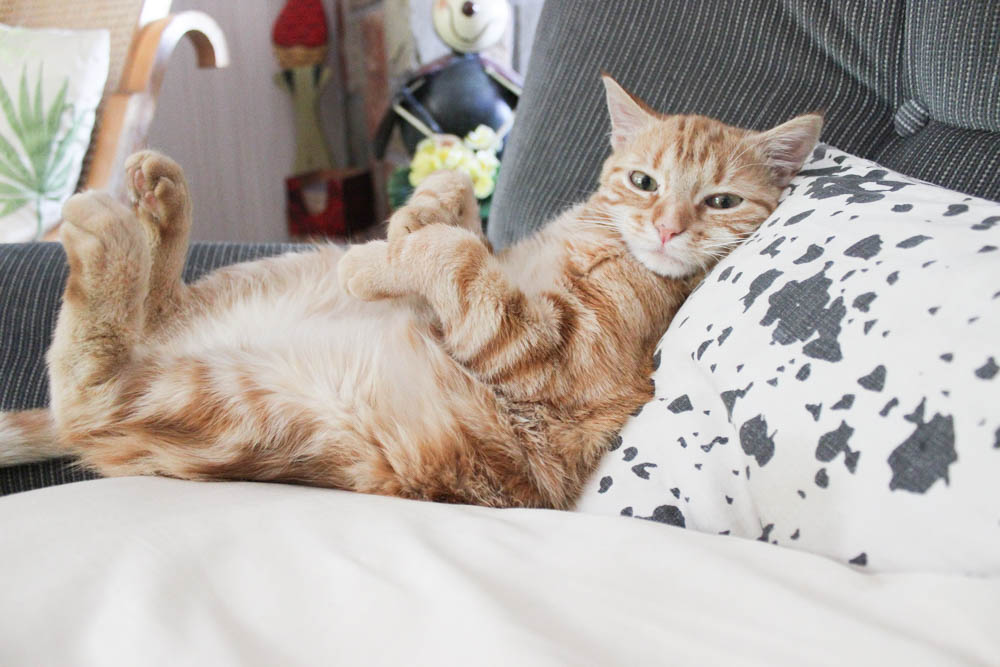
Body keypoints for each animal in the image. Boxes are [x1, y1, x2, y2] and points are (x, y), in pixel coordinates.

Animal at [0, 77, 820, 506]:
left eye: (720, 201)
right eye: (644, 181)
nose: (669, 227)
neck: (602, 242)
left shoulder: (553, 353)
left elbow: (454, 255)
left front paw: (386, 258)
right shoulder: (505, 256)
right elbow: (455, 211)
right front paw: (413, 214)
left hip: (232, 405)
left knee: (90, 382)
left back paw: (104, 228)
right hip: (263, 279)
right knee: (156, 302)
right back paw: (159, 199)